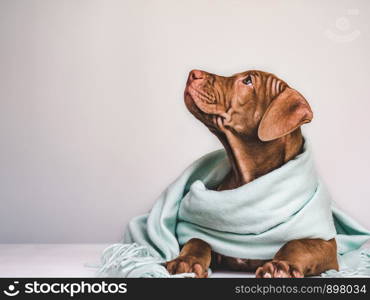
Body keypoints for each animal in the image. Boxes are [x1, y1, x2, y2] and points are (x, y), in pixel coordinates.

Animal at [166, 69, 340, 278]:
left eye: (248, 81)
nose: (193, 73)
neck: (247, 180)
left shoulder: (328, 246)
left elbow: (297, 243)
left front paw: (280, 266)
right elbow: (198, 240)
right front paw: (187, 260)